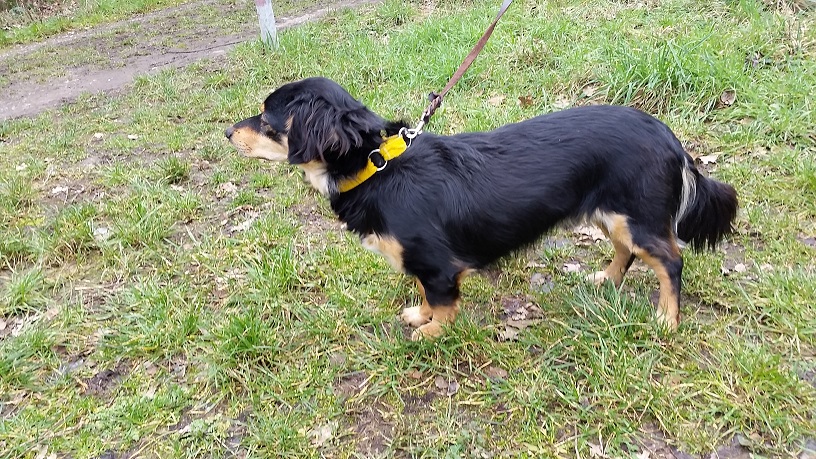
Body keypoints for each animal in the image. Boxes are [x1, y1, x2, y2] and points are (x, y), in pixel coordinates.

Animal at [226, 77, 738, 340]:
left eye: (266, 118)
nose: (227, 132)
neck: (376, 167)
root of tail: (670, 138)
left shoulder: (437, 264)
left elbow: (442, 301)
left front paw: (432, 331)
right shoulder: (423, 264)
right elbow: (424, 293)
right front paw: (420, 316)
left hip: (637, 218)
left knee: (670, 261)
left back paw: (667, 319)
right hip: (613, 215)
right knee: (627, 252)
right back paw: (606, 280)